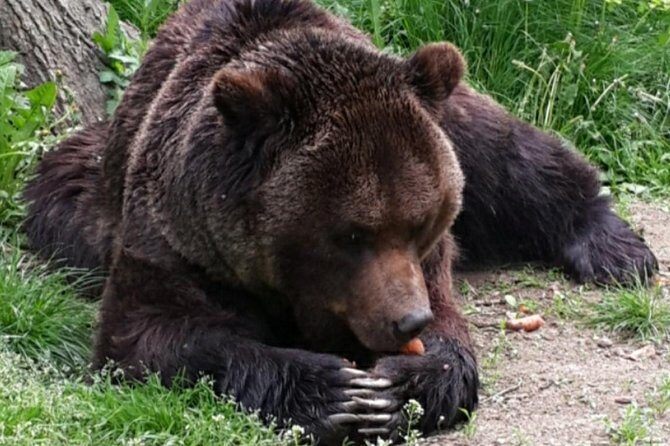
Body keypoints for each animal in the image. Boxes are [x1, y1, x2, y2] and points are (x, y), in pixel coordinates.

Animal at [23, 0, 657, 444]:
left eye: (420, 223)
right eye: (352, 234)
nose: (408, 319)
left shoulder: (430, 263)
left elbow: (452, 339)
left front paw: (401, 386)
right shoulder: (178, 240)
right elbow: (149, 333)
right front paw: (335, 391)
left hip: (447, 111)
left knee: (508, 153)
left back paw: (616, 249)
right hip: (82, 201)